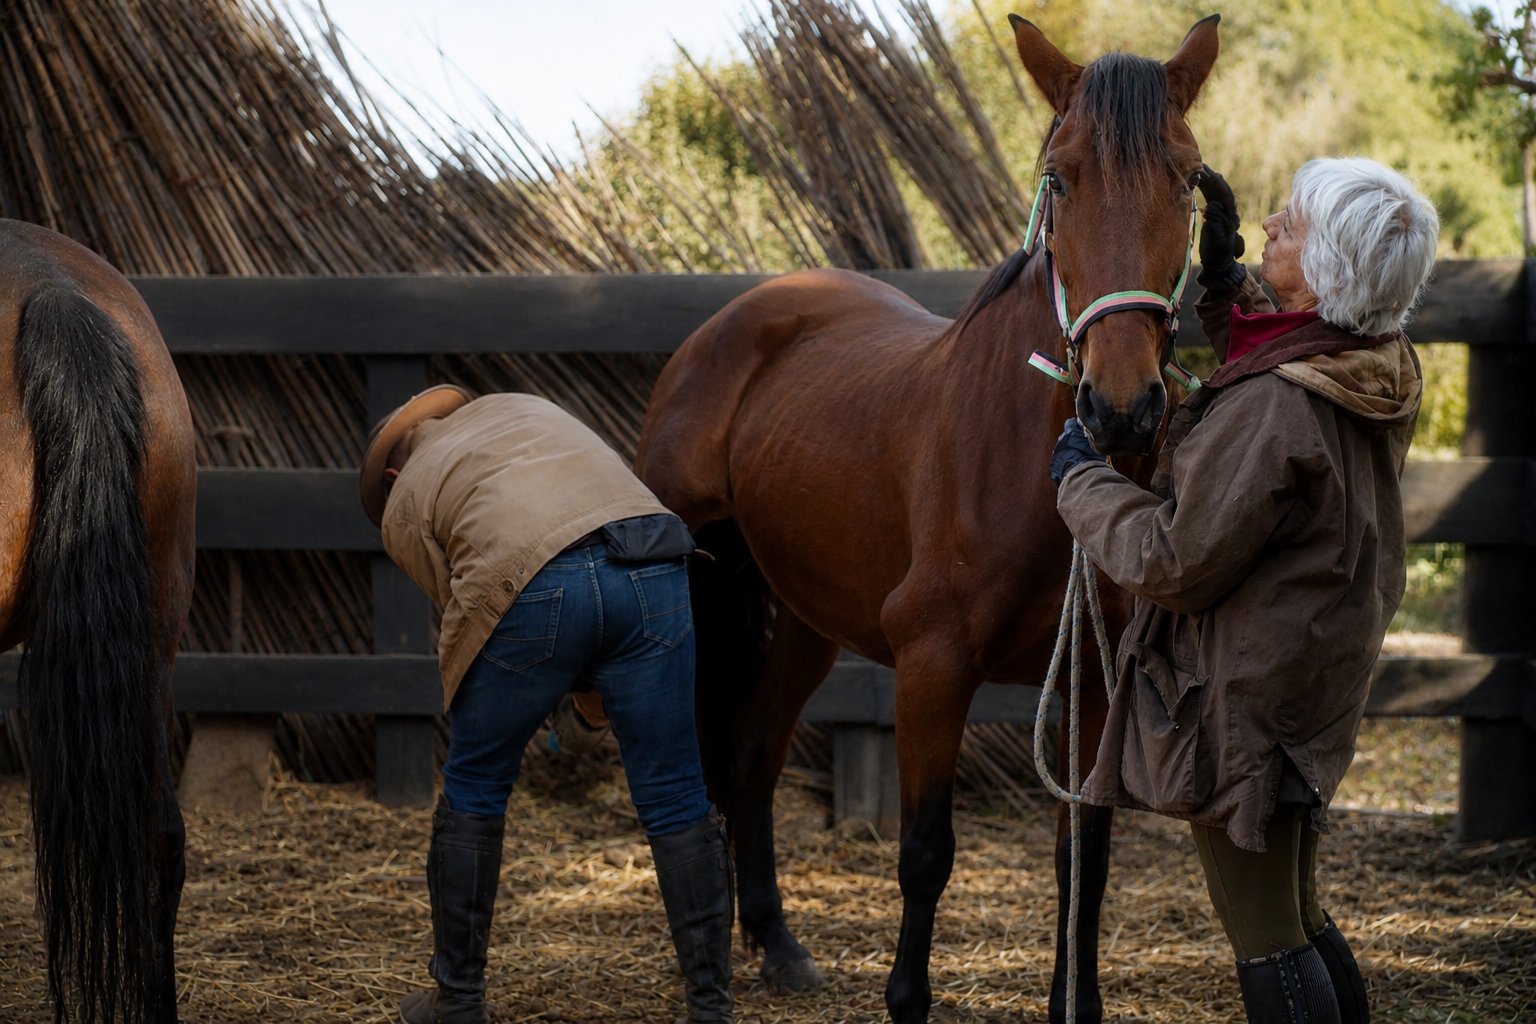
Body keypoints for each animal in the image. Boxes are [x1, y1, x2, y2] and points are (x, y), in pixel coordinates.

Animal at [634, 15, 1219, 1024]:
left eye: (1185, 176)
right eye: (1060, 176)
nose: (1121, 408)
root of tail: (740, 317)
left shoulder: (1094, 681)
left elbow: (1083, 859)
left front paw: (1077, 1003)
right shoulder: (932, 664)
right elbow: (925, 851)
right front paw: (907, 999)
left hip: (808, 618)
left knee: (752, 752)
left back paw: (778, 944)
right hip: (697, 596)